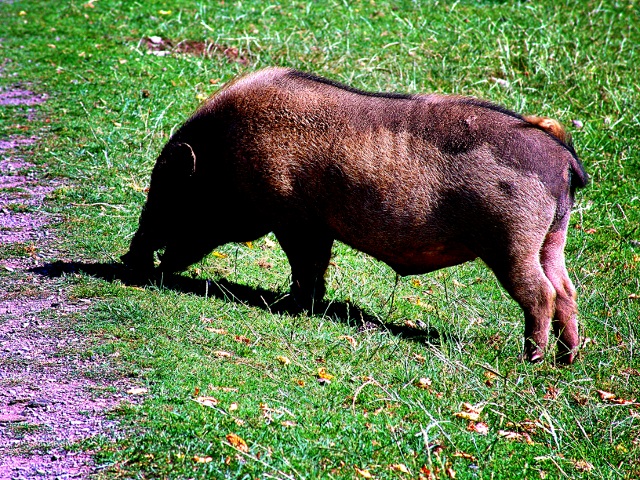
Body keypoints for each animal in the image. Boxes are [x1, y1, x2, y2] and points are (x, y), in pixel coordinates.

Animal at [121, 67, 588, 363]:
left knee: (541, 293)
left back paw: (531, 359)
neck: (225, 157)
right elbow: (315, 266)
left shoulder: (294, 220)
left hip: (512, 243)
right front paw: (307, 305)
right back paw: (566, 359)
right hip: (552, 239)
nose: (128, 261)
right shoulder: (313, 226)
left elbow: (305, 265)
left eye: (171, 192)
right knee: (566, 290)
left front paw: (291, 306)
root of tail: (564, 160)